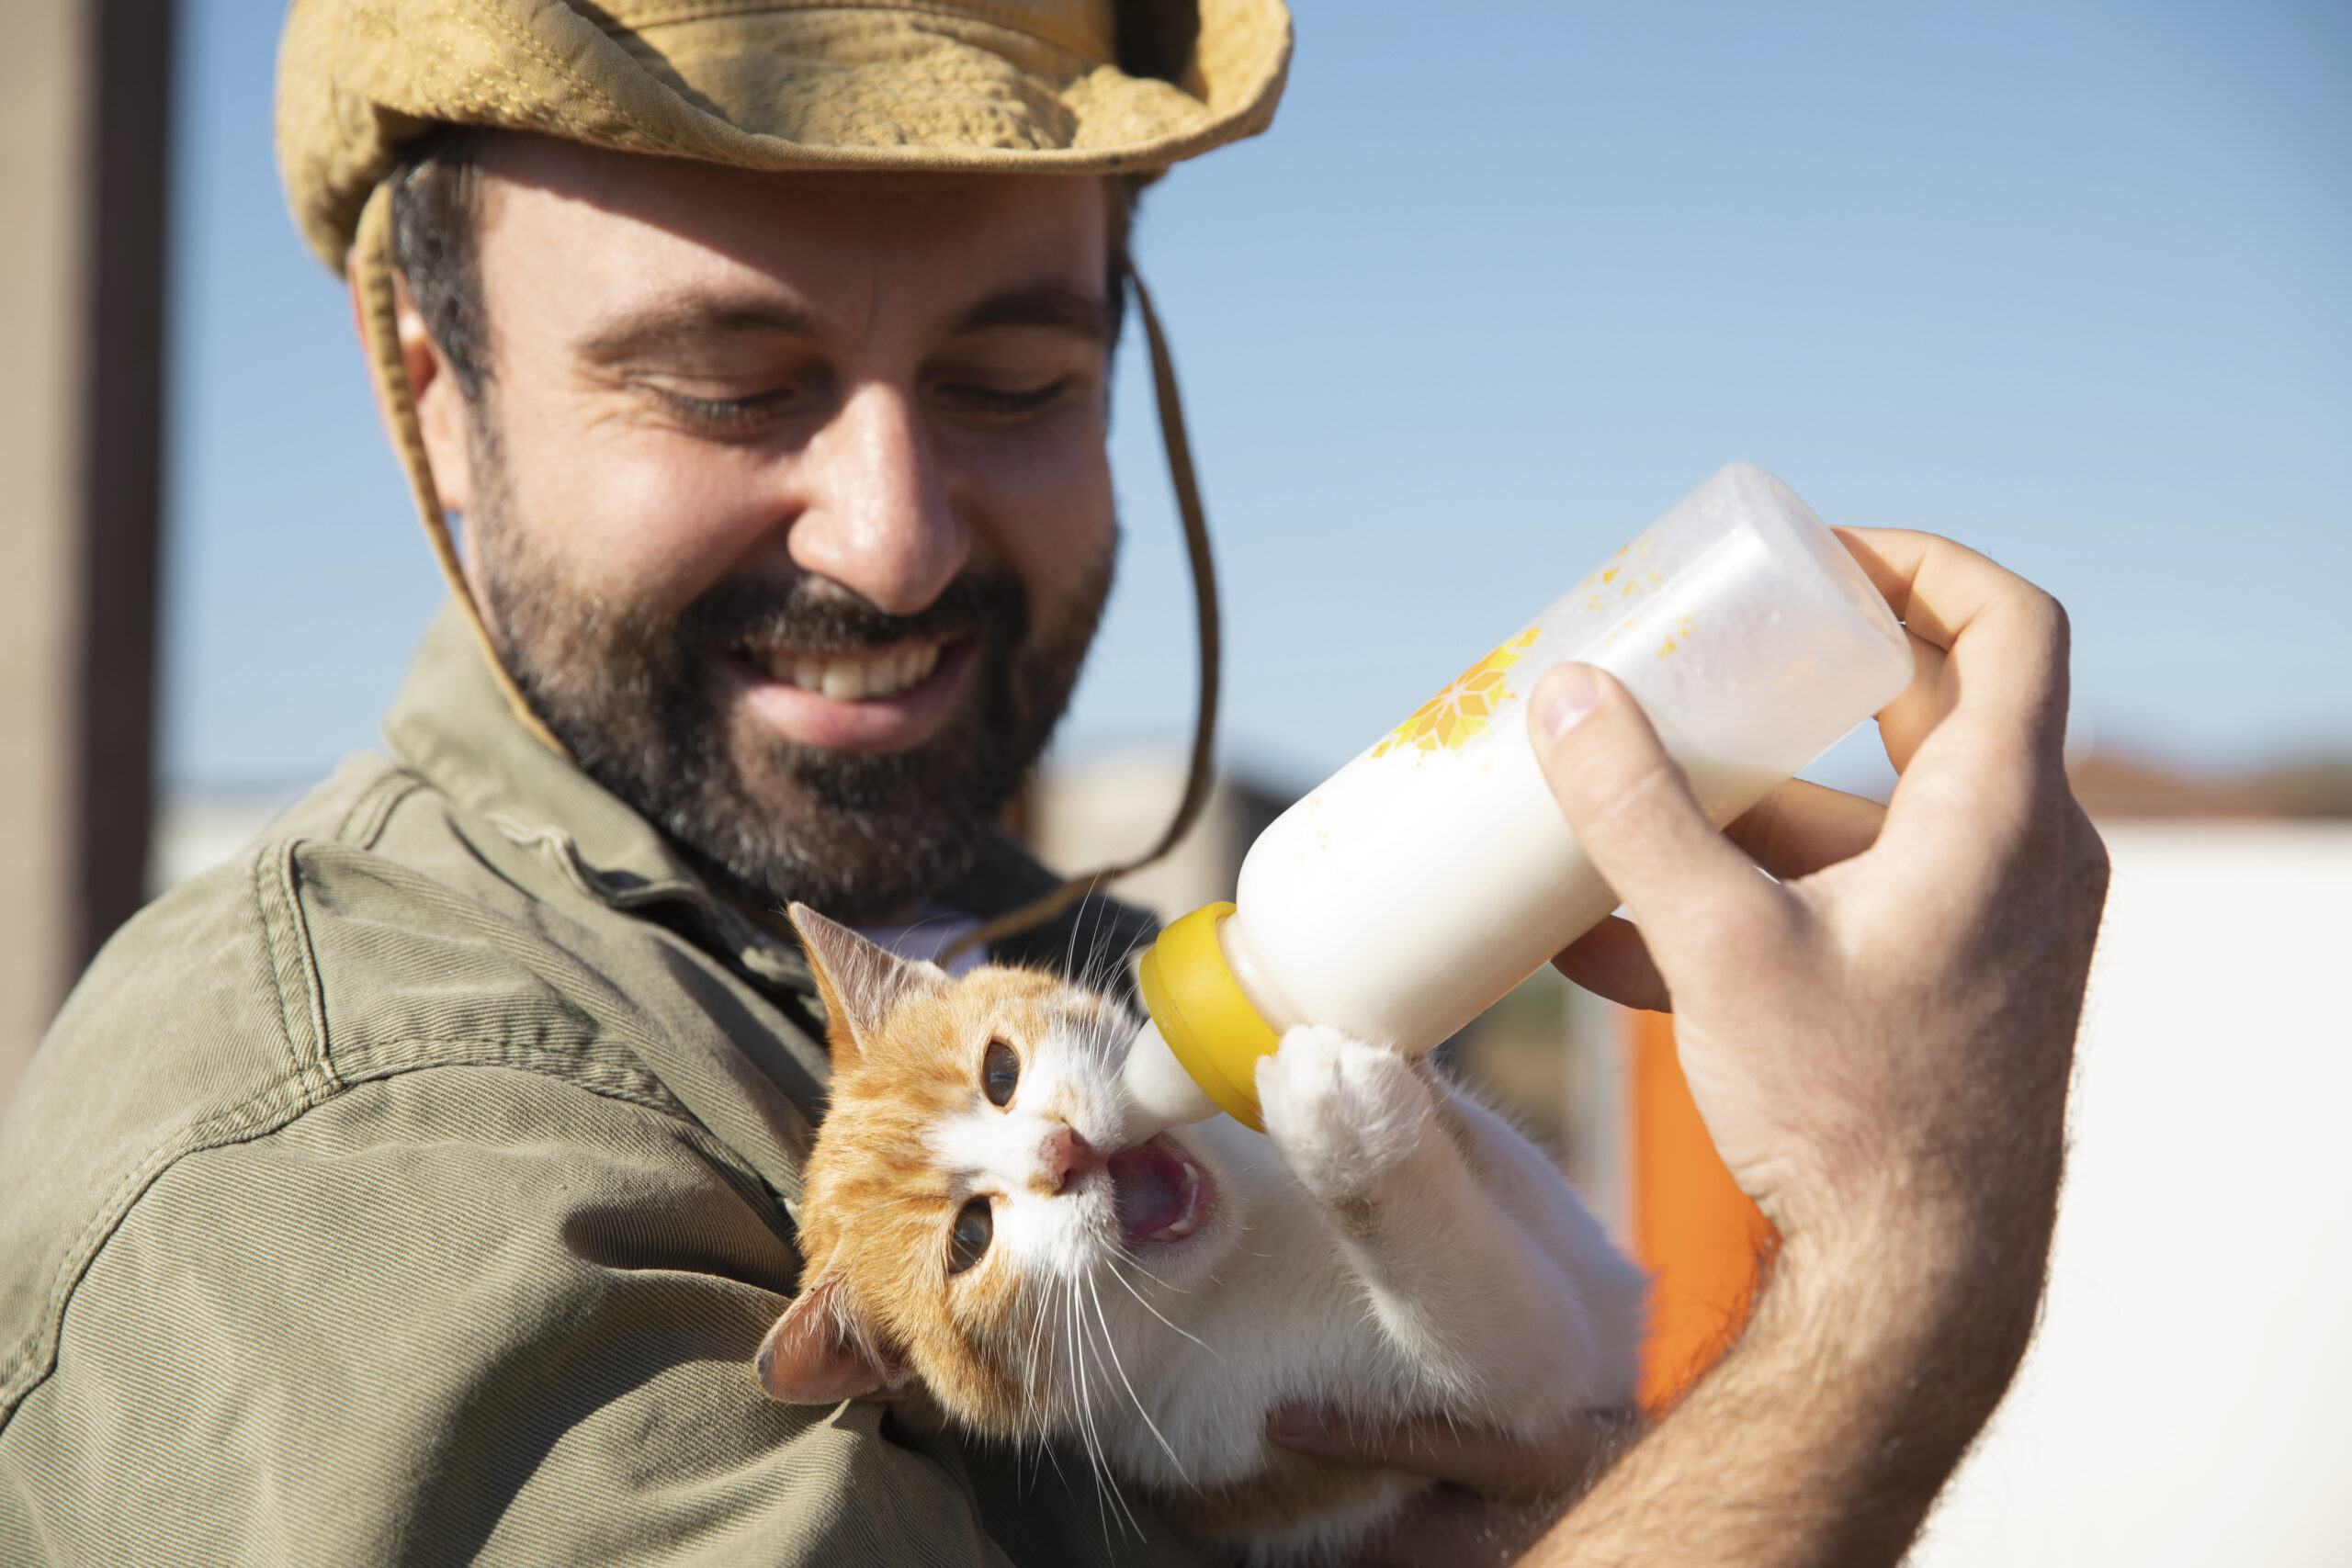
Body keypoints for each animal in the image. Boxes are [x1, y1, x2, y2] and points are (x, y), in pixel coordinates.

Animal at [762, 902, 1646, 1561]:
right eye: (969, 1240)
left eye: (1000, 1072)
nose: (1061, 1151)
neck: (1244, 1250)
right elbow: (1494, 1329)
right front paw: (1341, 1126)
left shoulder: (1585, 1262)